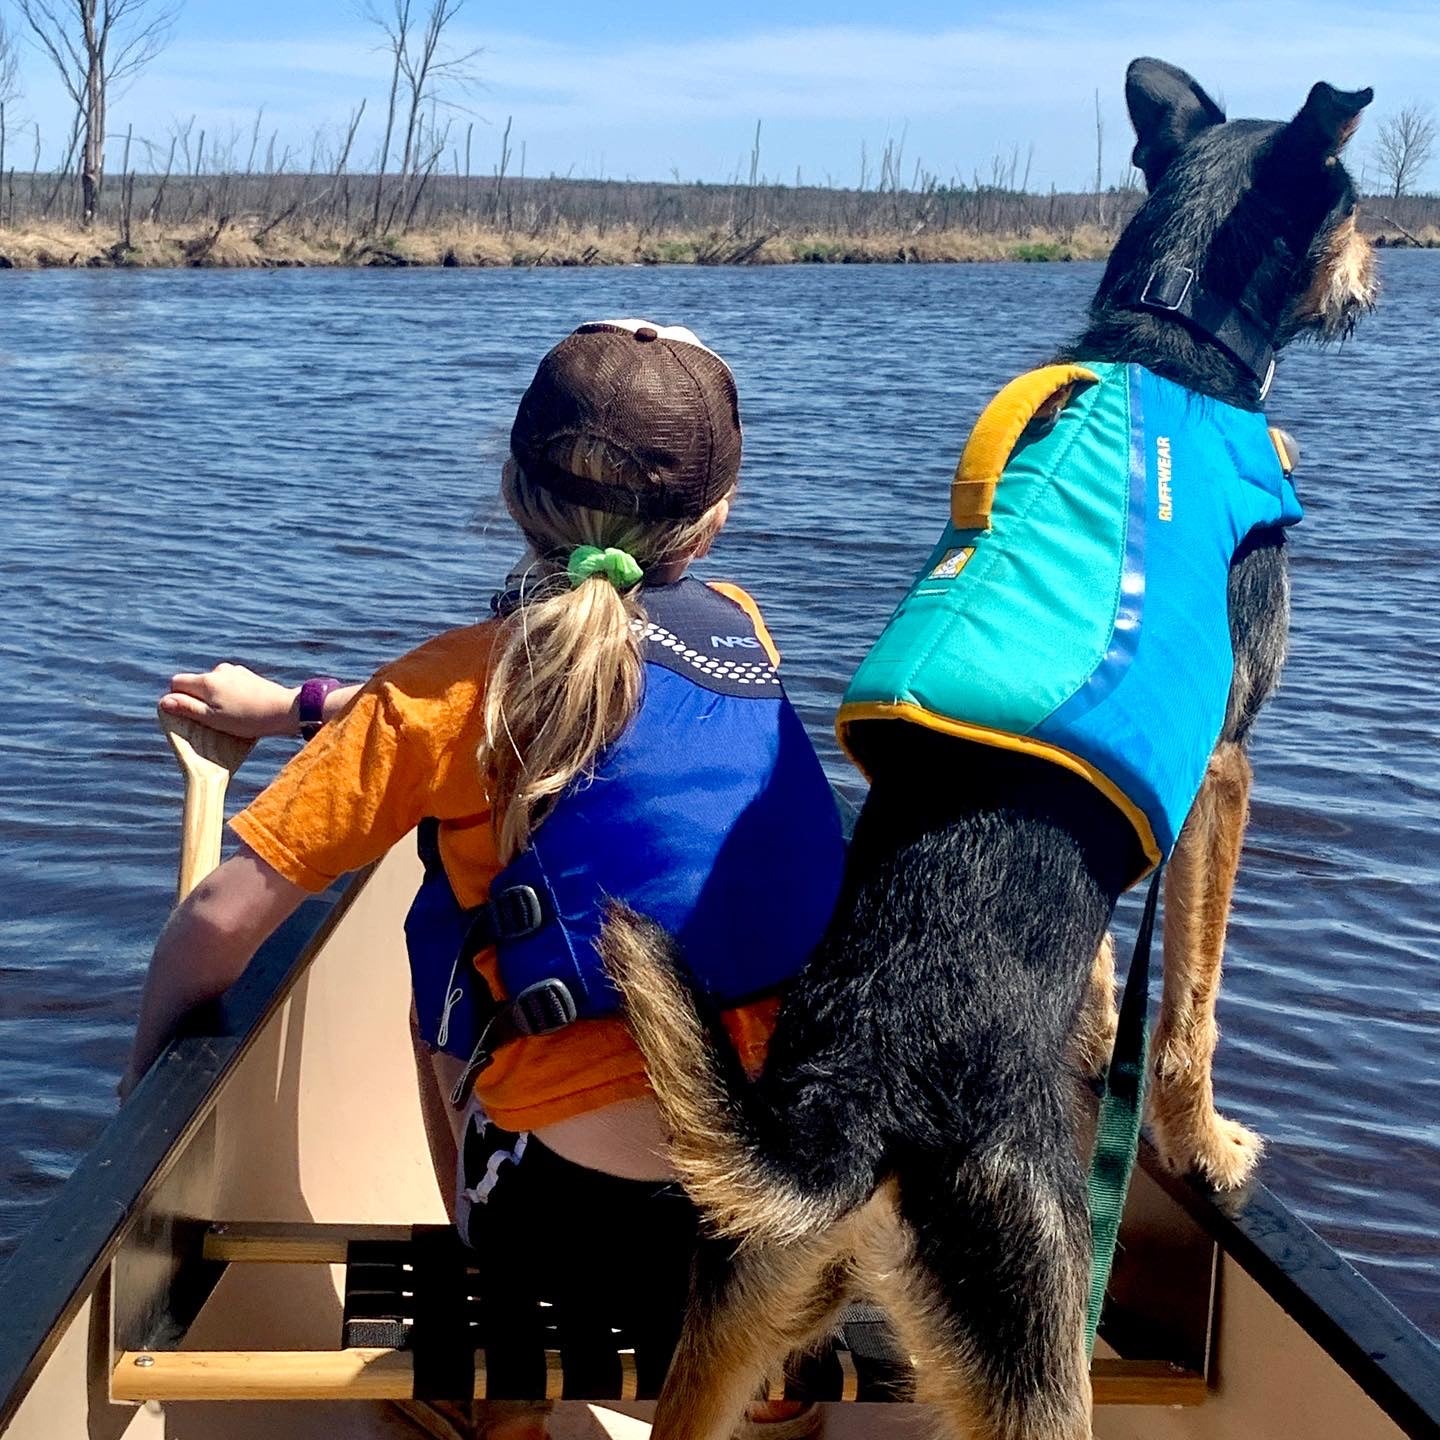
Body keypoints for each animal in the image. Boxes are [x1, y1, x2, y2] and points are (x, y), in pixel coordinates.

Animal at [601, 61, 1376, 1440]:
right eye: (1352, 204)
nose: (1379, 277)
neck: (1169, 342)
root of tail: (860, 1105)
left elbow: (1120, 983)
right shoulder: (1228, 766)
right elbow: (1192, 1006)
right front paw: (1209, 1146)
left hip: (740, 1316)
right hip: (1036, 1344)